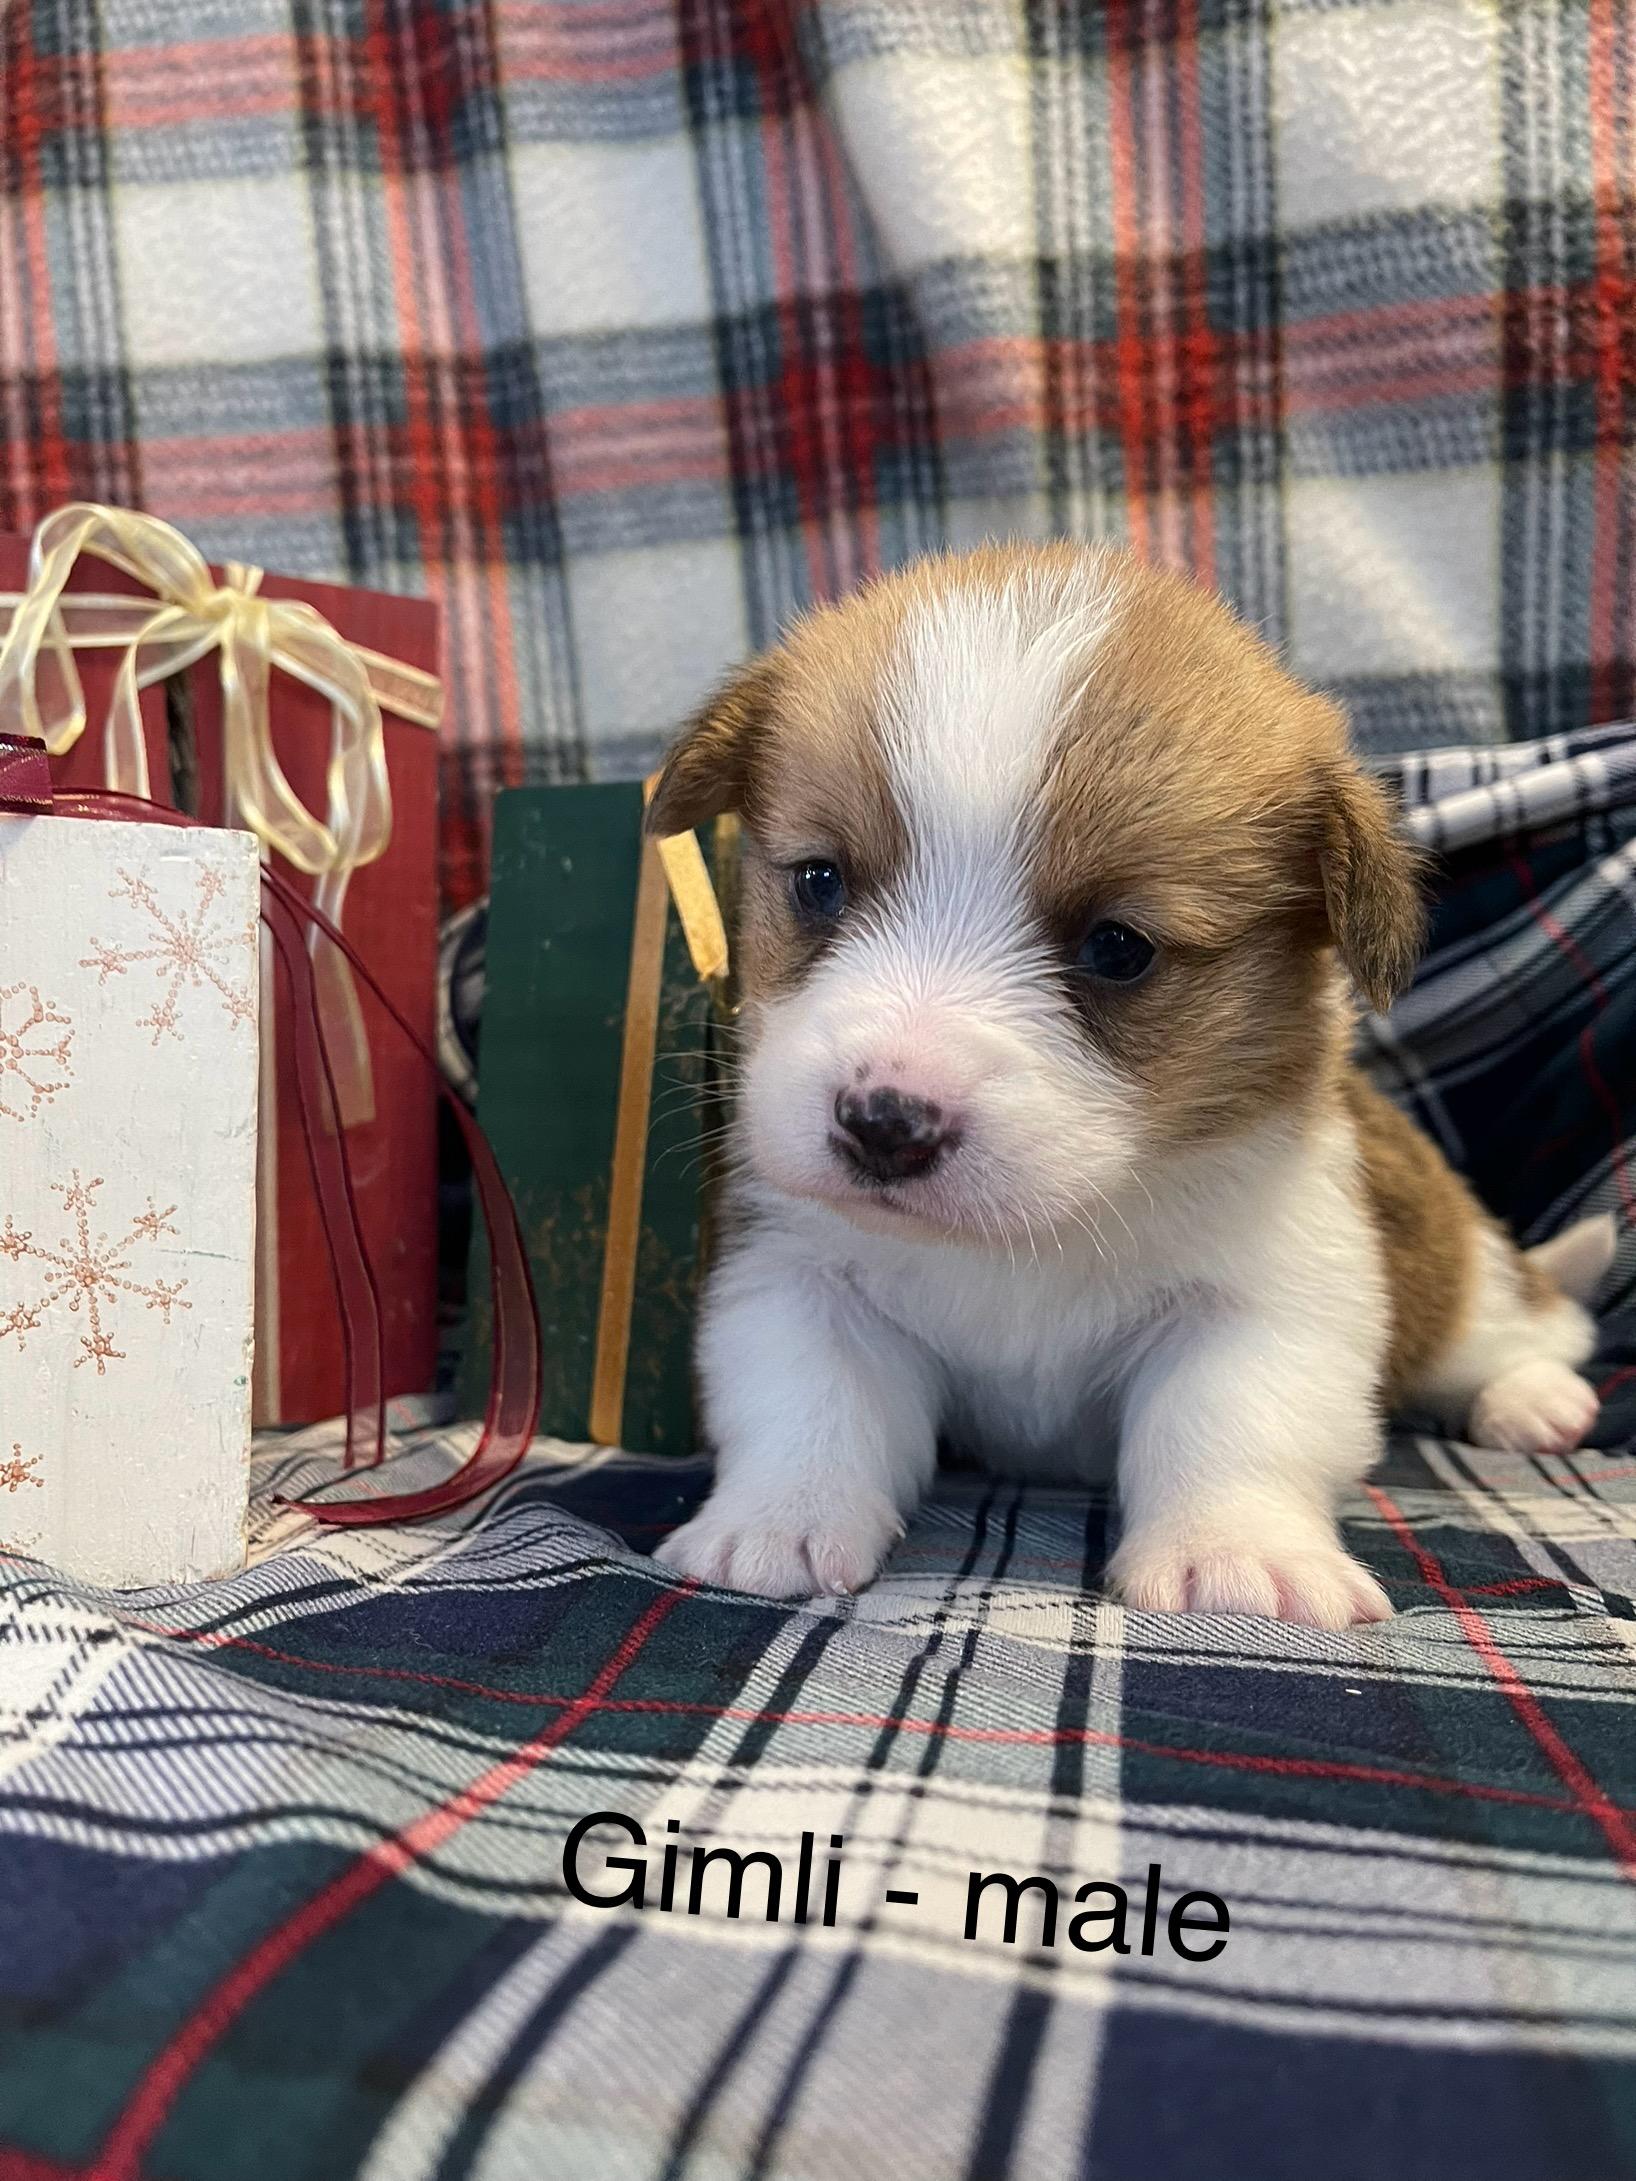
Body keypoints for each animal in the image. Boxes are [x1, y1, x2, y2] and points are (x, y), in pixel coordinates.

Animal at [645, 545, 1614, 1622]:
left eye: (1118, 948)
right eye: (819, 883)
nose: (884, 1122)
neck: (1034, 1233)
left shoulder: (1263, 1303)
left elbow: (1229, 1425)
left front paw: (1234, 1554)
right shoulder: (802, 1277)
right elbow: (808, 1408)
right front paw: (778, 1522)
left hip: (1461, 1272)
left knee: (1531, 1320)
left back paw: (1529, 1396)